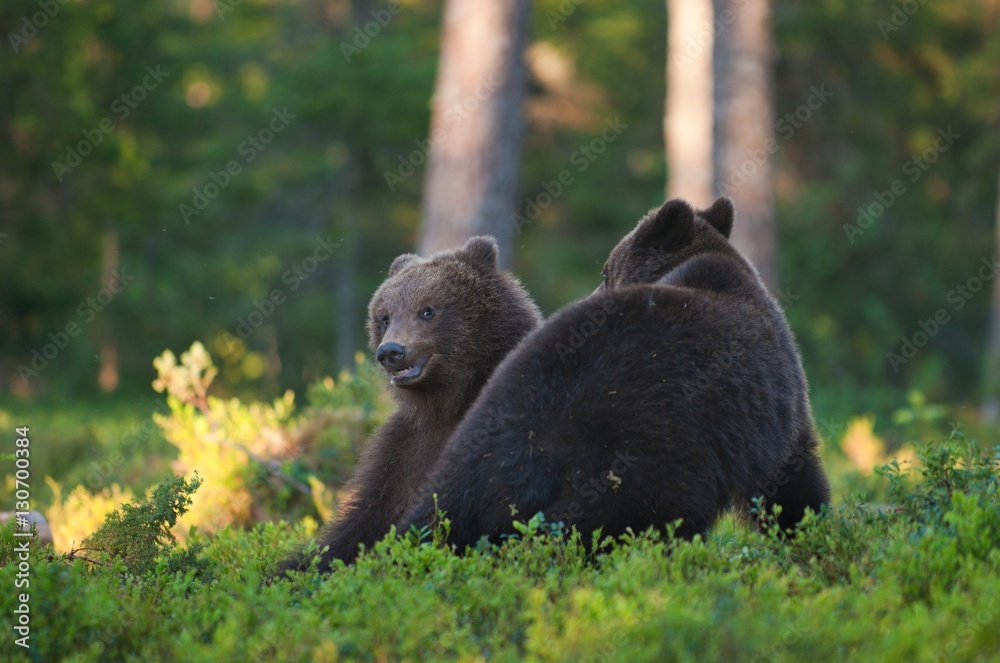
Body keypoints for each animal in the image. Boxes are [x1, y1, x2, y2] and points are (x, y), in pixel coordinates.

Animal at [276, 235, 542, 573]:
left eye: (427, 310)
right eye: (385, 317)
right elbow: (359, 527)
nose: (390, 351)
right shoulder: (400, 451)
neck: (446, 402)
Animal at [394, 197, 831, 550]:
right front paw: (806, 530)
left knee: (450, 506)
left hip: (486, 438)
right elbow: (792, 479)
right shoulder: (772, 401)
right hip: (640, 451)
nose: (592, 291)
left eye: (604, 272)